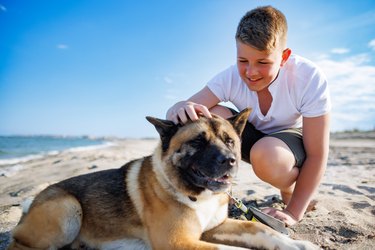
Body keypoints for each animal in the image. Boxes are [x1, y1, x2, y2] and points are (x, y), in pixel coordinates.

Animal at [7, 109, 318, 250]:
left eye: (230, 141)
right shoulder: (179, 242)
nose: (229, 161)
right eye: (198, 141)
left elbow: (261, 229)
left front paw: (300, 245)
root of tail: (31, 203)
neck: (194, 193)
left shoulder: (216, 227)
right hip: (68, 208)